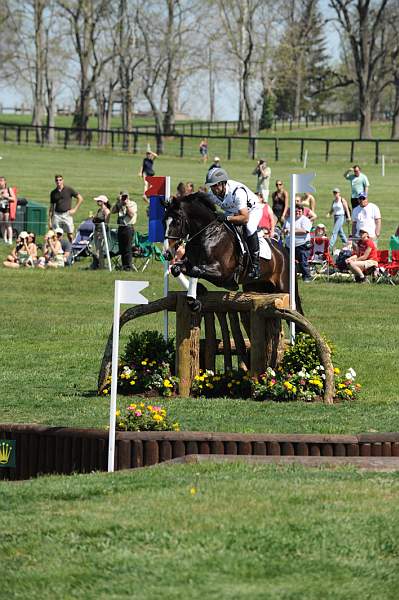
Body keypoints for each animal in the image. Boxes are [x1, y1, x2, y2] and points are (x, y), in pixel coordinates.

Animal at [162, 191, 304, 314]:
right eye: (164, 222)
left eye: (177, 222)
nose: (167, 253)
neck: (207, 234)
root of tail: (284, 251)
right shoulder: (191, 262)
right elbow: (176, 269)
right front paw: (195, 295)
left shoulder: (223, 272)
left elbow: (195, 270)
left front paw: (196, 297)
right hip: (256, 287)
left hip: (284, 286)